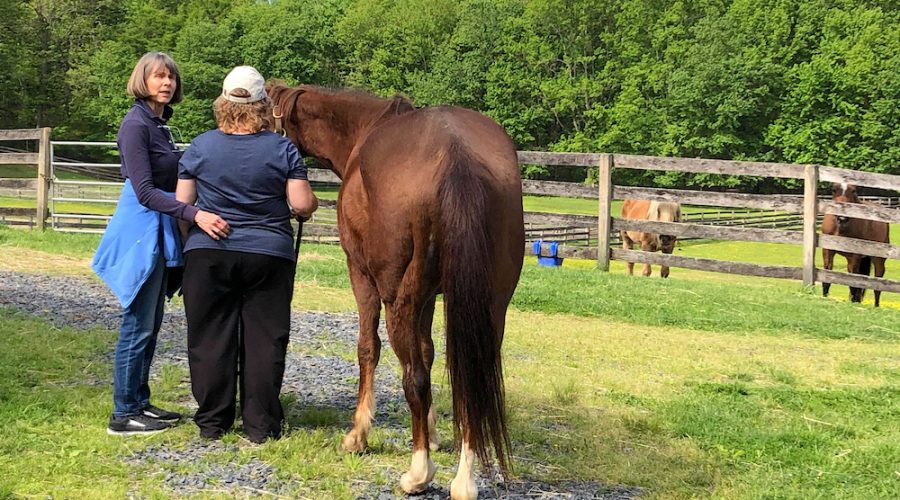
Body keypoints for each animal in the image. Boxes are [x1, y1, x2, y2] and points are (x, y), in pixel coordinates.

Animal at [268, 84, 524, 498]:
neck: (363, 130)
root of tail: (455, 155)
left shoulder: (362, 275)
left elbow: (368, 349)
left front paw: (357, 435)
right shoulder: (432, 296)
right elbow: (428, 351)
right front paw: (432, 433)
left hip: (397, 299)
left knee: (413, 377)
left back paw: (419, 473)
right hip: (489, 306)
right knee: (472, 379)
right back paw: (464, 480)